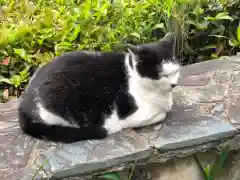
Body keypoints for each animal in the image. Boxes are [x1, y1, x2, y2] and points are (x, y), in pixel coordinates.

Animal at [17, 33, 181, 143]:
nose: (174, 84)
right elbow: (162, 114)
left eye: (175, 72)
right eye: (162, 75)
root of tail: (23, 103)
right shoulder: (131, 115)